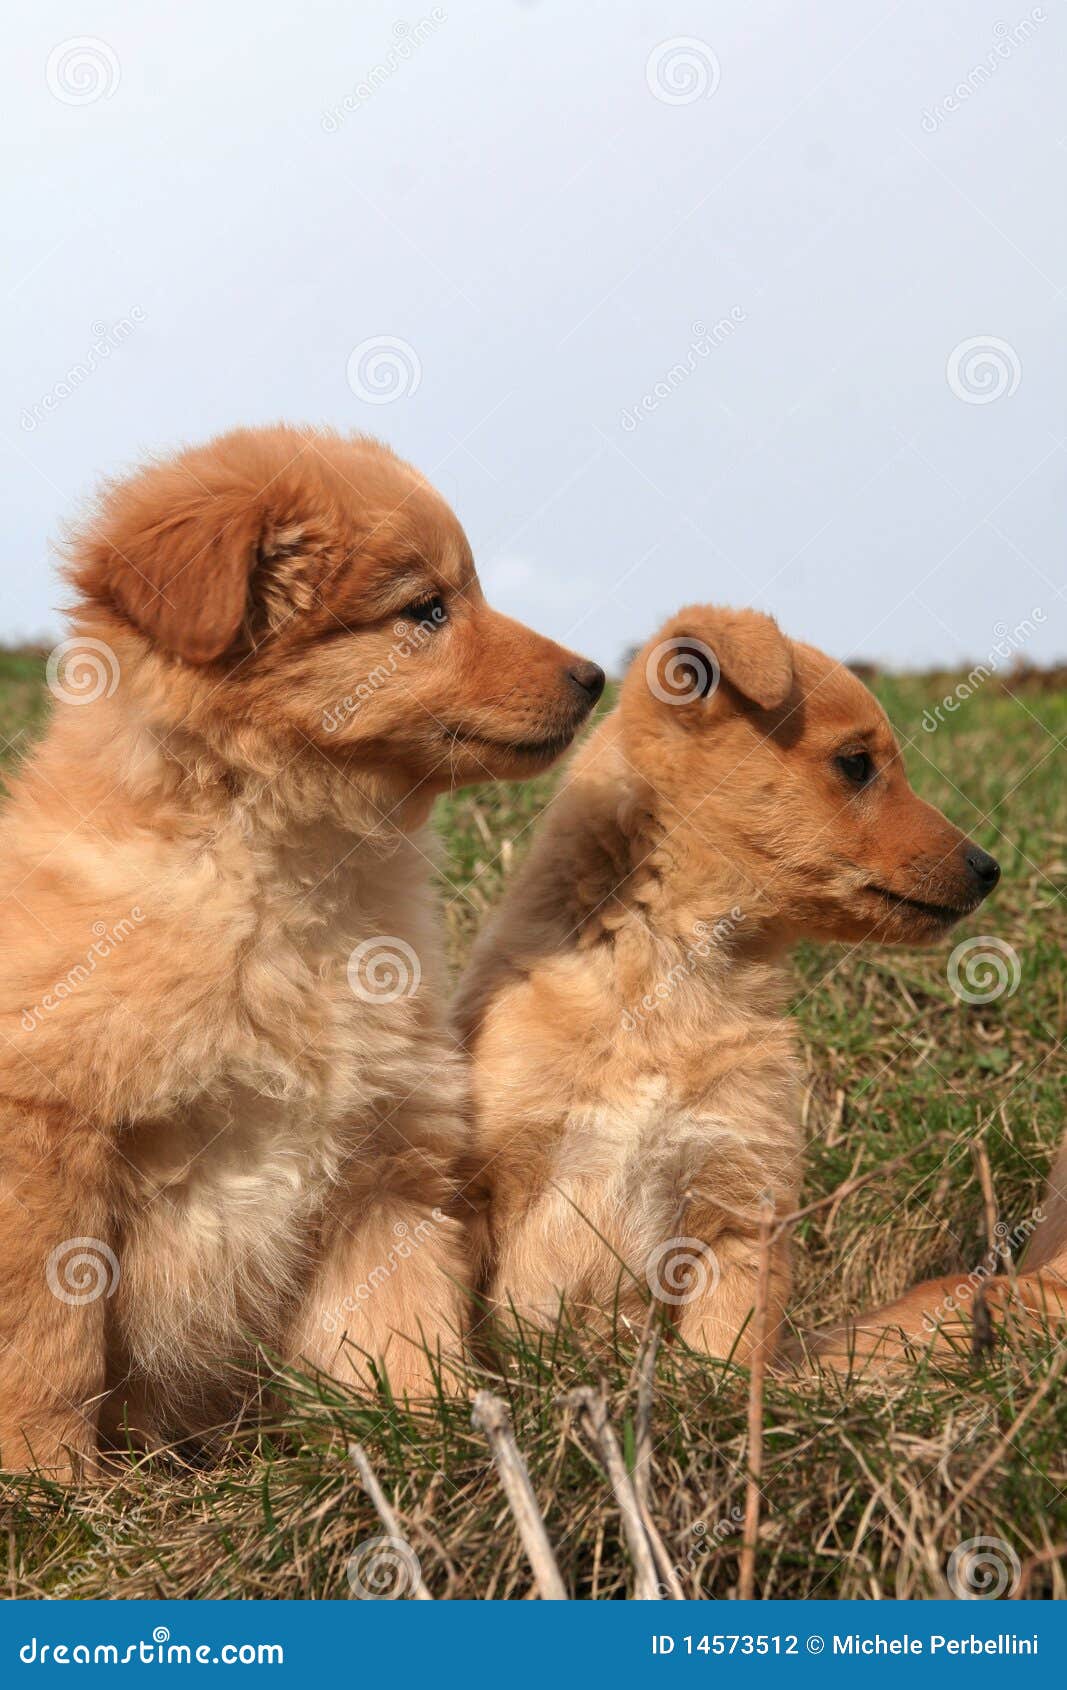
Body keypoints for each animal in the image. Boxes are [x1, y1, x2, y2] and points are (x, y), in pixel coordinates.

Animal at [0, 422, 601, 1466]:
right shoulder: (47, 1129)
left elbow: (398, 1323)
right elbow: (45, 1339)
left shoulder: (381, 1151)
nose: (596, 676)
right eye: (426, 609)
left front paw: (433, 1449)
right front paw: (50, 1481)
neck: (274, 874)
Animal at [456, 605, 1001, 1358]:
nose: (989, 867)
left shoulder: (741, 1209)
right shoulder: (481, 1185)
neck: (665, 976)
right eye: (855, 764)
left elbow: (722, 1356)